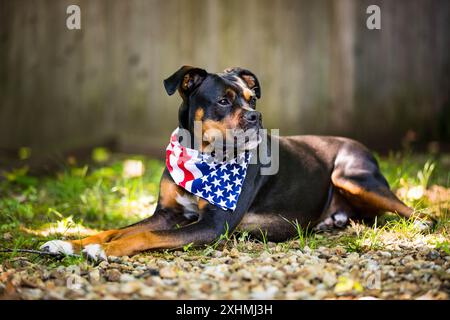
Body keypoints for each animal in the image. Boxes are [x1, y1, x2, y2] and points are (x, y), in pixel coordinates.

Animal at [41, 65, 414, 260]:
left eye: (252, 99)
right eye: (223, 100)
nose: (256, 116)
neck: (202, 157)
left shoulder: (213, 225)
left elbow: (141, 236)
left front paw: (105, 251)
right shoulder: (167, 214)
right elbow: (115, 229)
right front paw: (69, 243)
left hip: (353, 177)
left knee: (407, 208)